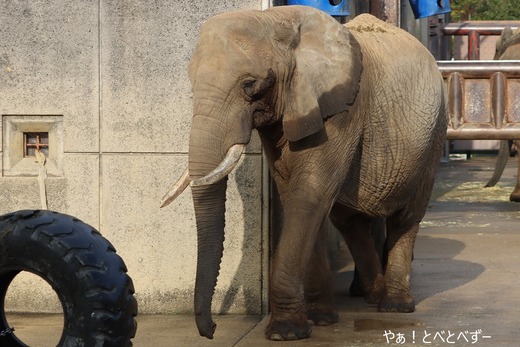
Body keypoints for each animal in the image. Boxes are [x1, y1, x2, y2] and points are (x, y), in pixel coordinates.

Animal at [161, 5, 446, 342]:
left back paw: (394, 306)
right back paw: (371, 295)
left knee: (406, 217)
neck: (277, 20)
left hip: (433, 137)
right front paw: (320, 320)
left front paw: (286, 332)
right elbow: (297, 198)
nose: (212, 330)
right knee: (349, 220)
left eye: (249, 84)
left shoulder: (340, 110)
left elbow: (309, 195)